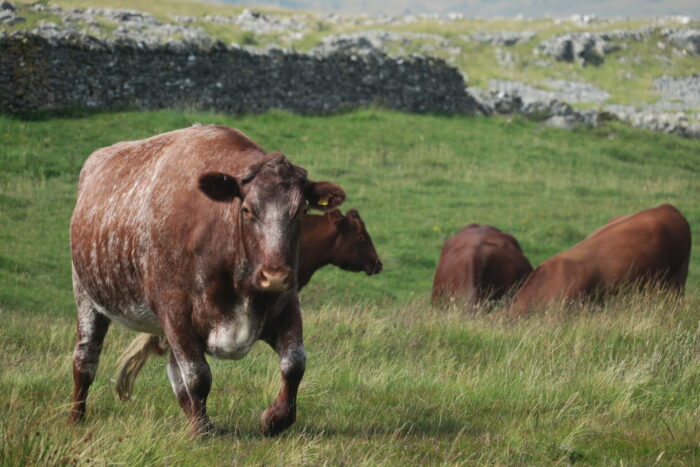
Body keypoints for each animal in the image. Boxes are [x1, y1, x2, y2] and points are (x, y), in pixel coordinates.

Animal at [69, 124, 346, 436]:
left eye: (302, 211)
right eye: (246, 209)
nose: (274, 275)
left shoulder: (285, 304)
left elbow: (295, 363)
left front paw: (276, 418)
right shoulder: (175, 312)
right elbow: (198, 375)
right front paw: (201, 430)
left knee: (173, 371)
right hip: (86, 296)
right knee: (85, 359)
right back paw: (76, 417)